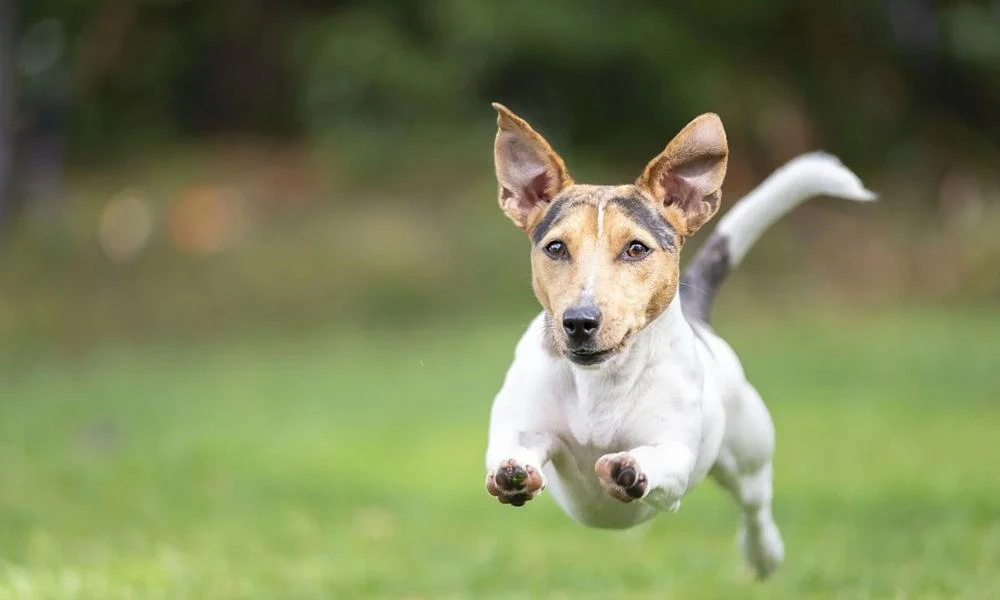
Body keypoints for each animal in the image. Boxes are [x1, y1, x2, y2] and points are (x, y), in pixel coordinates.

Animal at [480, 102, 872, 576]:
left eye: (636, 248)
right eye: (555, 248)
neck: (600, 381)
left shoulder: (675, 455)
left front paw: (630, 469)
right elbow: (514, 448)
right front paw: (512, 473)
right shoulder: (526, 425)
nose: (579, 321)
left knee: (755, 505)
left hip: (749, 453)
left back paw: (763, 553)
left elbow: (662, 462)